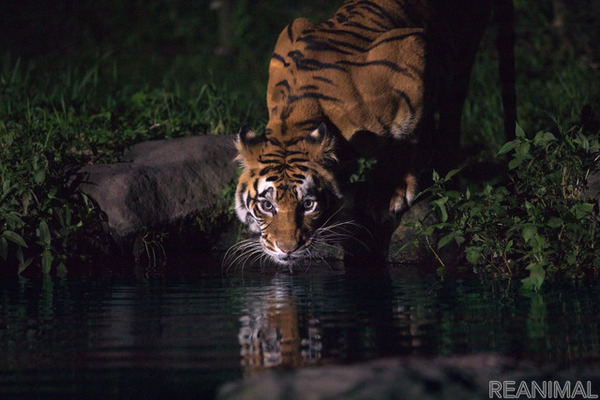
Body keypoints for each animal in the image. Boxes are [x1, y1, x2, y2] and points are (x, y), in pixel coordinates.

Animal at [230, 0, 516, 268]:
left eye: (308, 204)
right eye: (267, 206)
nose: (287, 248)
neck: (298, 117)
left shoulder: (413, 55)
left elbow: (407, 139)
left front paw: (389, 194)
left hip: (465, 49)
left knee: (451, 113)